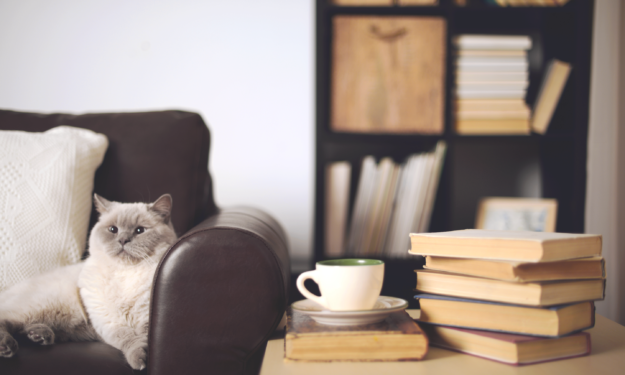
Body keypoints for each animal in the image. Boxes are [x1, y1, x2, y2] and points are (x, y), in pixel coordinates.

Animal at [0, 195, 177, 372]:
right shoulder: (111, 323)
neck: (125, 273)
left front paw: (143, 360)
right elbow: (131, 340)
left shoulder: (146, 321)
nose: (123, 240)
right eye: (113, 229)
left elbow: (143, 339)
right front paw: (140, 362)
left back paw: (40, 336)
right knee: (7, 321)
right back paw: (8, 347)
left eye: (140, 230)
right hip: (43, 307)